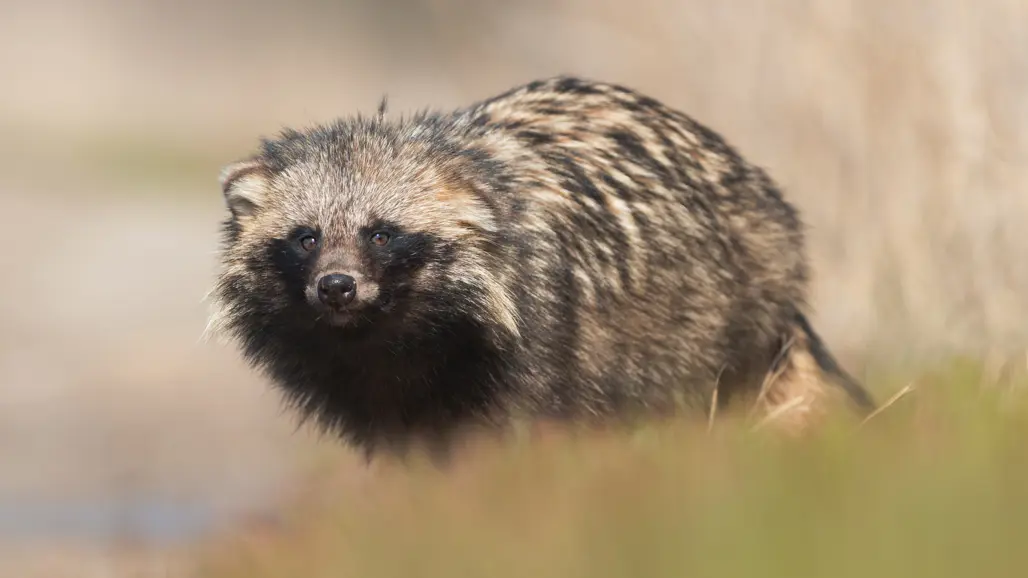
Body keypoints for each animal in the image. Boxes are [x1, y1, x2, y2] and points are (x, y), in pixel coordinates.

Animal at [207, 76, 875, 458]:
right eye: (306, 237)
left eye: (382, 233)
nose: (338, 288)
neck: (395, 347)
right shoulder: (378, 406)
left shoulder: (539, 350)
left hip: (709, 333)